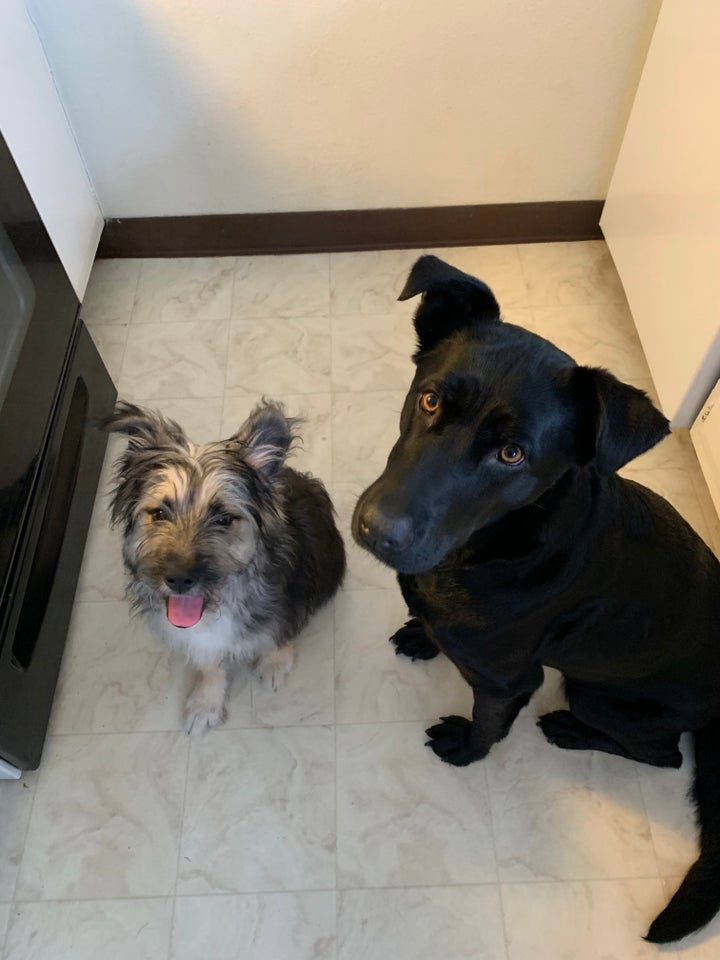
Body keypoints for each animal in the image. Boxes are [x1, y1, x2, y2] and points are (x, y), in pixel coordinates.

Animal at [101, 400, 346, 736]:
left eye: (224, 519)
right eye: (159, 513)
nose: (179, 580)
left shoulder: (289, 600)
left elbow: (278, 632)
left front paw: (274, 663)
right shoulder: (199, 639)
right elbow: (209, 665)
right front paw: (205, 704)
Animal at [352, 255, 720, 944]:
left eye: (512, 453)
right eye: (430, 398)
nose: (375, 531)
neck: (486, 550)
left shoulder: (509, 680)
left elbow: (489, 726)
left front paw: (465, 751)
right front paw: (420, 633)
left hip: (599, 693)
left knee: (660, 756)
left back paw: (571, 731)